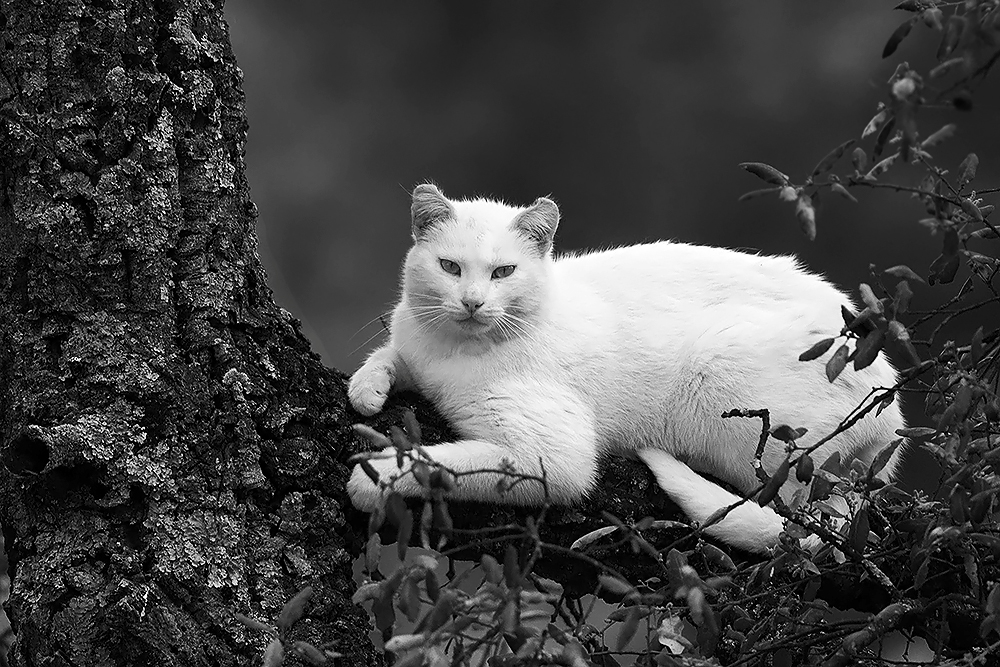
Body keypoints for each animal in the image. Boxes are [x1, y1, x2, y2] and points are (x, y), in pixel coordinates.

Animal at [346, 183, 908, 552]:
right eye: (449, 267)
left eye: (503, 272)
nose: (471, 302)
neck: (452, 352)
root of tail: (892, 408)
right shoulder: (411, 346)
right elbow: (387, 357)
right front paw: (367, 390)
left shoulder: (554, 459)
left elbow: (444, 463)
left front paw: (373, 479)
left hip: (726, 377)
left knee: (798, 523)